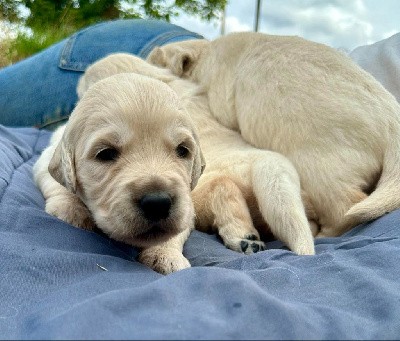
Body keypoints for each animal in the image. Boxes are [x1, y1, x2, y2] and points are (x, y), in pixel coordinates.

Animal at [32, 72, 205, 274]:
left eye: (182, 150)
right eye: (105, 153)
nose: (158, 203)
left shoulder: (188, 207)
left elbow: (176, 230)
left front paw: (165, 254)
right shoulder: (44, 160)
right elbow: (57, 183)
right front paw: (71, 209)